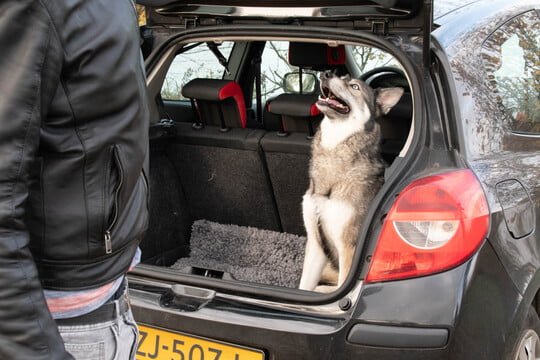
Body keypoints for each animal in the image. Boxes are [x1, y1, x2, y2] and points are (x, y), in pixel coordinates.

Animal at [298, 71, 402, 292]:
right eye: (342, 76)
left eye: (354, 87)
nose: (326, 73)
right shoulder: (316, 245)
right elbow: (304, 287)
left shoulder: (348, 249)